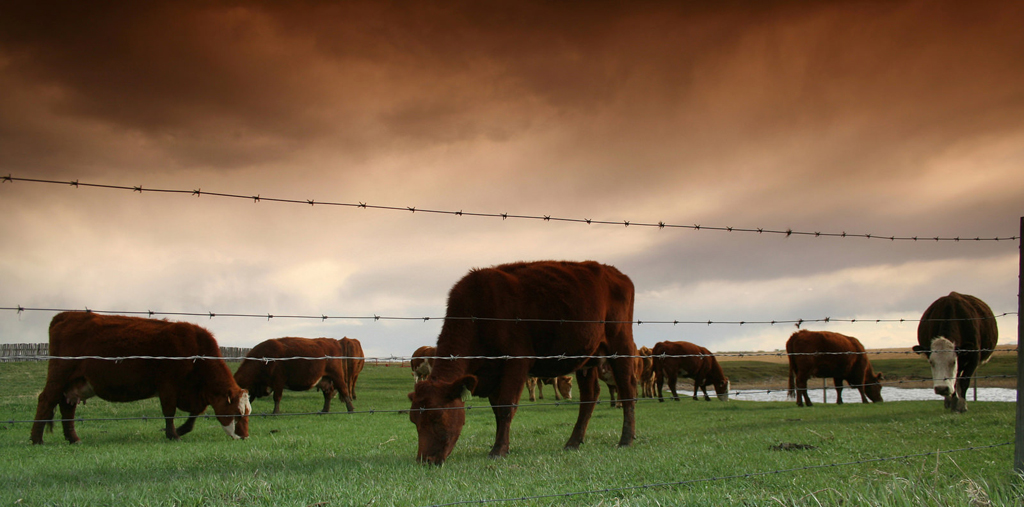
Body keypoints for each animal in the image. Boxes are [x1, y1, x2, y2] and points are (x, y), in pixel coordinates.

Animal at [30, 313, 251, 444]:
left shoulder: (195, 394)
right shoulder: (168, 386)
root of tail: (66, 315)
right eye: (237, 413)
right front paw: (173, 434)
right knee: (46, 400)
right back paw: (36, 439)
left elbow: (194, 415)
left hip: (75, 382)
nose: (245, 436)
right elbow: (169, 412)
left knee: (67, 407)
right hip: (59, 376)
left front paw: (181, 430)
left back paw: (73, 438)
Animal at [405, 262, 630, 465]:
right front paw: (501, 445)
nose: (424, 460)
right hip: (588, 358)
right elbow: (497, 409)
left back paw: (626, 439)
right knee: (590, 395)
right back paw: (573, 442)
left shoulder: (516, 362)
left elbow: (506, 406)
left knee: (627, 388)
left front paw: (498, 450)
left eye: (437, 417)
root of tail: (614, 272)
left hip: (620, 344)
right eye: (414, 420)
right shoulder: (493, 374)